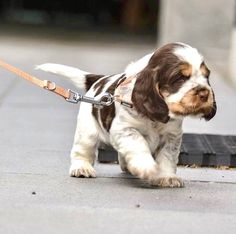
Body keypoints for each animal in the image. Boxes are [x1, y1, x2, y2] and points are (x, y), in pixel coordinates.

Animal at [37, 42, 217, 188]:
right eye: (180, 77)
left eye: (206, 76)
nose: (205, 94)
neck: (154, 118)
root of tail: (98, 80)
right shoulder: (124, 129)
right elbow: (138, 143)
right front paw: (146, 166)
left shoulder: (172, 136)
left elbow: (168, 156)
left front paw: (167, 177)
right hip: (87, 132)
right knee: (82, 151)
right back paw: (82, 168)